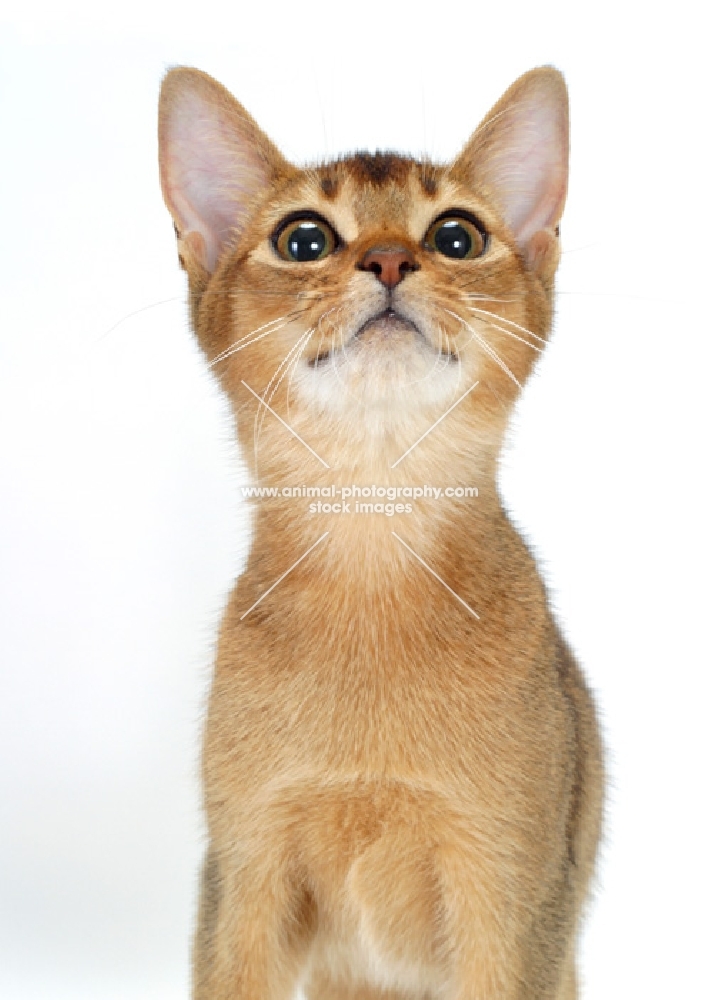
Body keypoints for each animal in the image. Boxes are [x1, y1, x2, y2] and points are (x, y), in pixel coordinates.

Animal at [157, 66, 600, 996]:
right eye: (303, 240)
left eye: (459, 236)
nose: (392, 259)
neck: (373, 542)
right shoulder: (243, 877)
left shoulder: (511, 900)